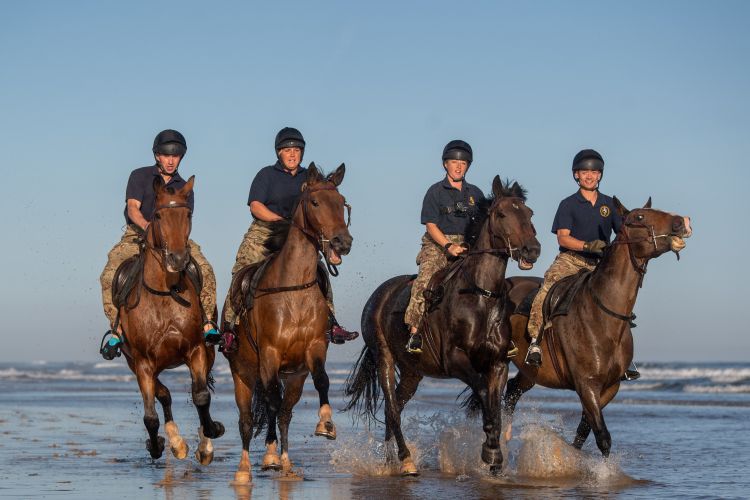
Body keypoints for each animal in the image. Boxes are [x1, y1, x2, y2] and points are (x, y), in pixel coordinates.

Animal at [117, 176, 225, 463]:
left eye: (188, 214)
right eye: (157, 214)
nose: (177, 259)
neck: (164, 294)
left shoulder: (196, 350)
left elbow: (201, 396)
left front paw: (210, 435)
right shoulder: (142, 363)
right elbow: (151, 416)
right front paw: (157, 446)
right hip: (137, 363)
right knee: (163, 395)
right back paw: (176, 443)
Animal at [224, 163, 353, 484]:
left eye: (342, 202)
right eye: (315, 202)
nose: (342, 243)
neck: (293, 290)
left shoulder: (314, 349)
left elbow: (322, 381)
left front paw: (326, 424)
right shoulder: (269, 354)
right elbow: (268, 401)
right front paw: (265, 458)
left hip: (294, 377)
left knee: (283, 412)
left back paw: (284, 462)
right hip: (243, 373)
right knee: (248, 418)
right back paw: (245, 469)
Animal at [344, 176, 541, 475]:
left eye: (529, 213)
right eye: (502, 214)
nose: (533, 250)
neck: (481, 295)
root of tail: (379, 295)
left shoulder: (498, 363)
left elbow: (495, 404)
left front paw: (495, 456)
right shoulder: (455, 360)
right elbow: (483, 393)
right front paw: (490, 452)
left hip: (413, 371)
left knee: (395, 408)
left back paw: (391, 461)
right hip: (384, 357)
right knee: (391, 408)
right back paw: (406, 461)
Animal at [502, 198, 692, 457]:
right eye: (640, 217)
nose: (682, 221)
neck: (602, 315)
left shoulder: (609, 387)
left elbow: (585, 429)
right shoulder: (587, 384)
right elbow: (602, 436)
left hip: (530, 372)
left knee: (512, 392)